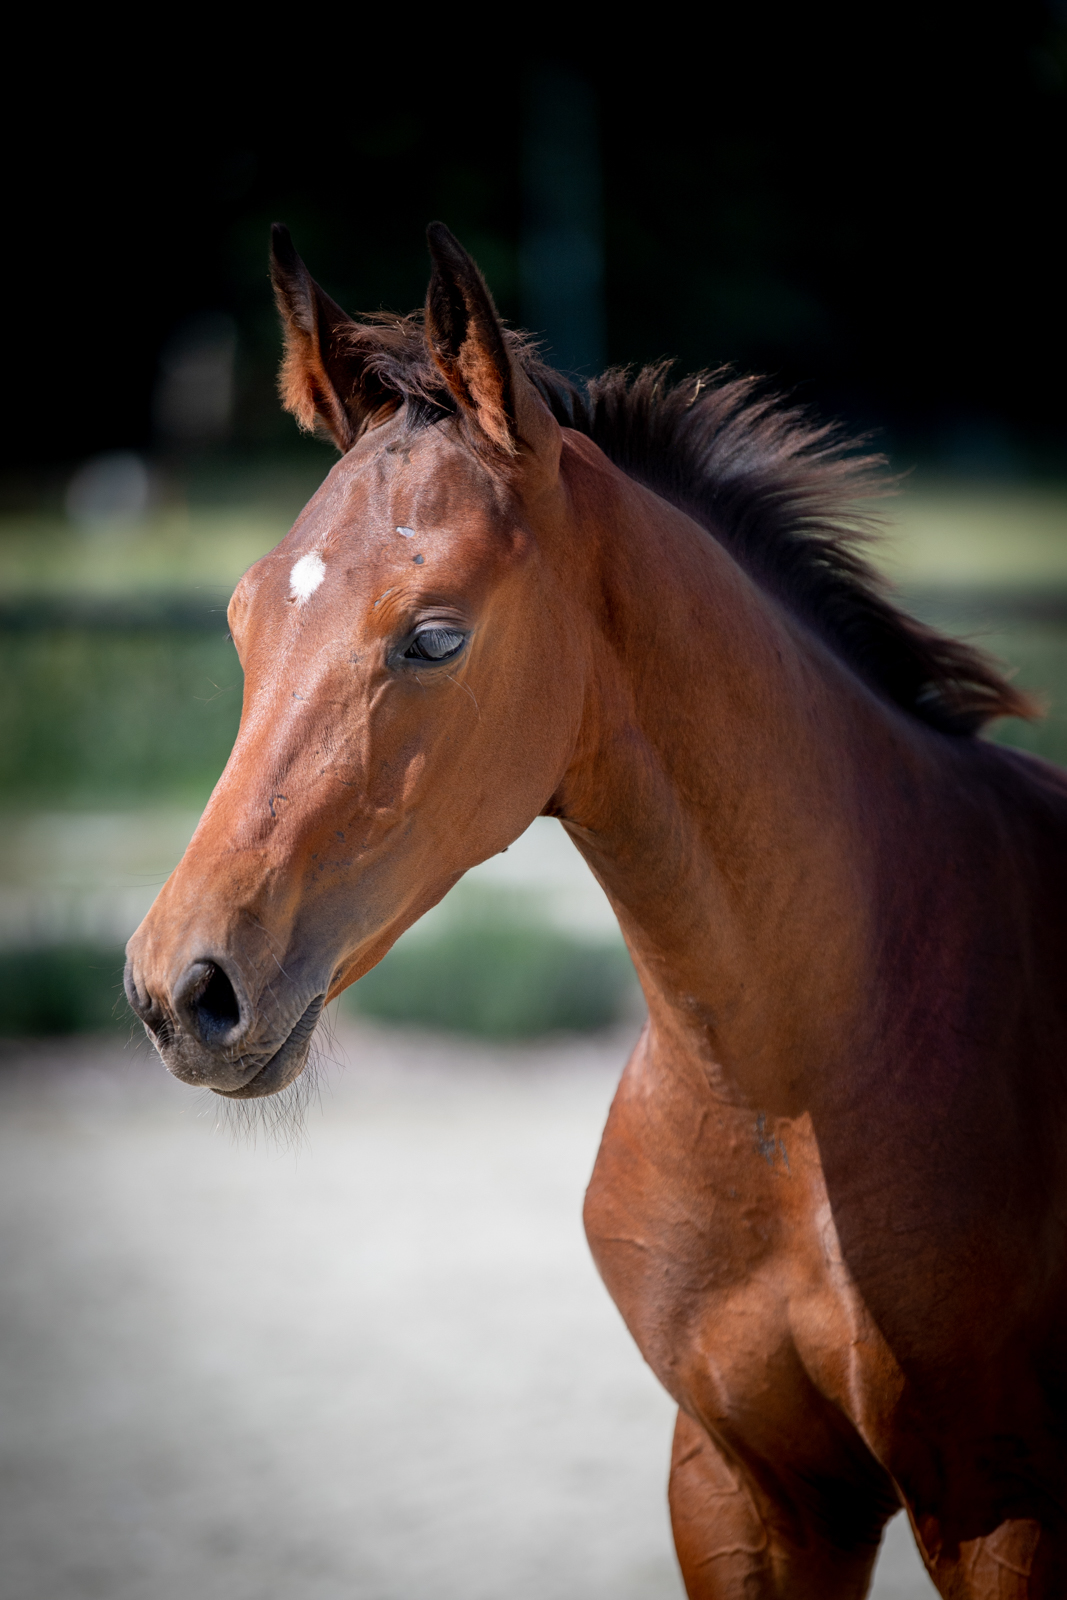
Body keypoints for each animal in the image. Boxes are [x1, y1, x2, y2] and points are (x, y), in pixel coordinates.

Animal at [125, 221, 1067, 1598]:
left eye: (434, 636)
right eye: (244, 616)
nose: (180, 988)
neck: (791, 1091)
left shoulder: (1003, 1506)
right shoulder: (739, 1485)